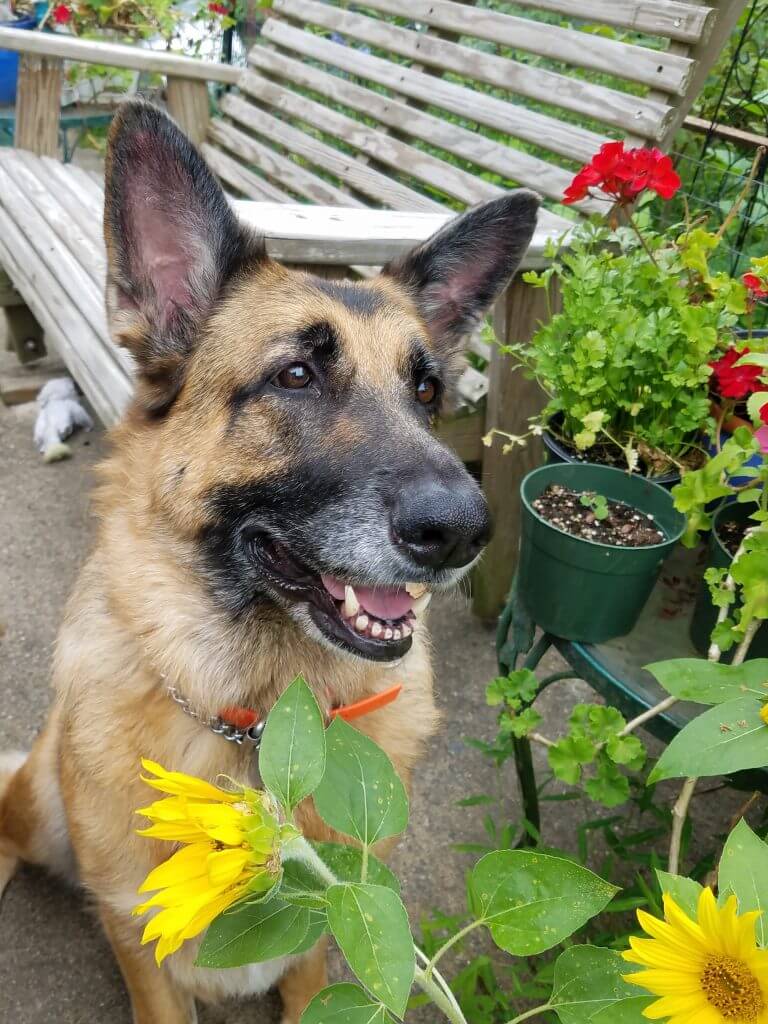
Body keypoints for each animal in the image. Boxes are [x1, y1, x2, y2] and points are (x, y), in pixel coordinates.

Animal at [0, 105, 540, 1024]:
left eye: (427, 392)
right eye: (294, 375)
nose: (465, 530)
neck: (251, 719)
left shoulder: (324, 944)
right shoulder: (143, 955)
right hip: (41, 801)